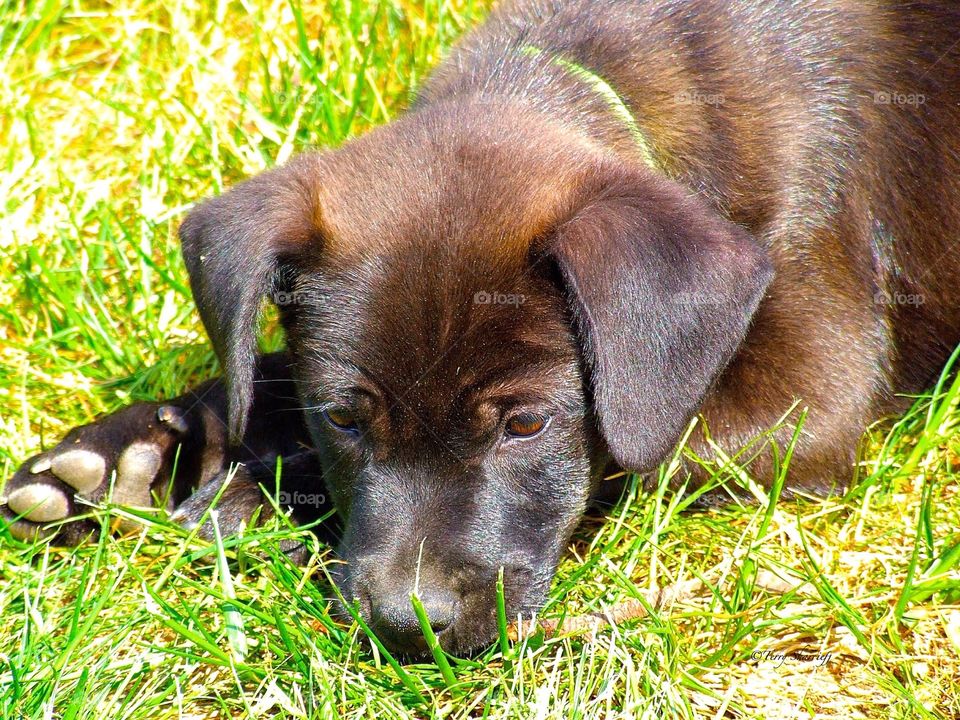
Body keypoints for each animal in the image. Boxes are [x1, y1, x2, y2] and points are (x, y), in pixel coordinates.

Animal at [1, 0, 960, 652]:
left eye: (527, 425)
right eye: (344, 417)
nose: (407, 625)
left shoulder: (811, 400)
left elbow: (630, 450)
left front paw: (242, 491)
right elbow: (263, 373)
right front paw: (139, 449)